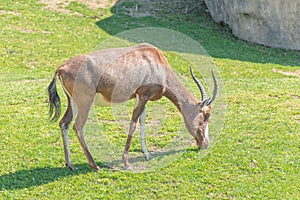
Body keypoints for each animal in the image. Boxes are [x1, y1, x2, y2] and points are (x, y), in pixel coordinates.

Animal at [48, 43, 218, 171]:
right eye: (205, 116)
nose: (204, 144)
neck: (153, 59)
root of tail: (62, 68)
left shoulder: (141, 98)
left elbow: (142, 120)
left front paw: (147, 154)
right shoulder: (143, 95)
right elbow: (134, 123)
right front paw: (127, 163)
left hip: (73, 103)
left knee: (64, 123)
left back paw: (70, 164)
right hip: (85, 103)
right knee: (77, 126)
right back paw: (95, 165)